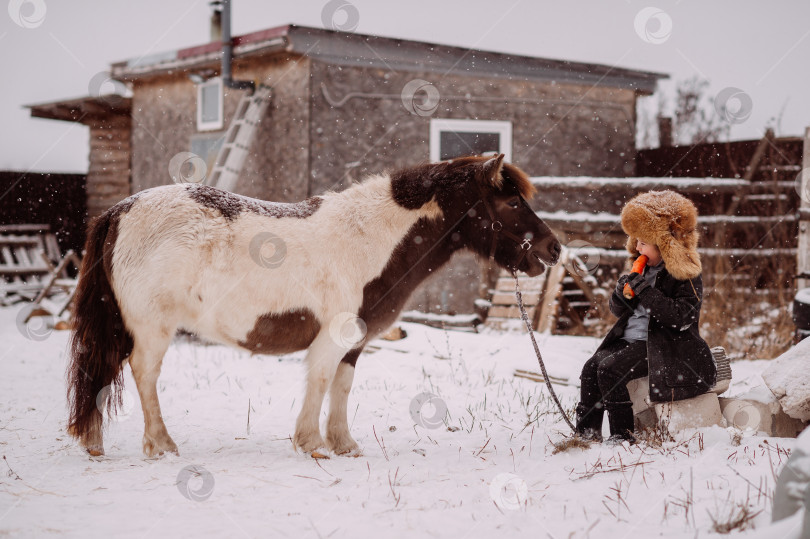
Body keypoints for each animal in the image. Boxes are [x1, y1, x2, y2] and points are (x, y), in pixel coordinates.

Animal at [66, 154, 560, 458]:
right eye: (511, 201)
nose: (554, 249)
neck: (372, 239)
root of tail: (119, 211)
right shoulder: (333, 334)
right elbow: (320, 380)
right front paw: (311, 443)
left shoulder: (357, 340)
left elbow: (342, 386)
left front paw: (344, 444)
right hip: (152, 328)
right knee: (143, 373)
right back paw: (161, 445)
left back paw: (94, 442)